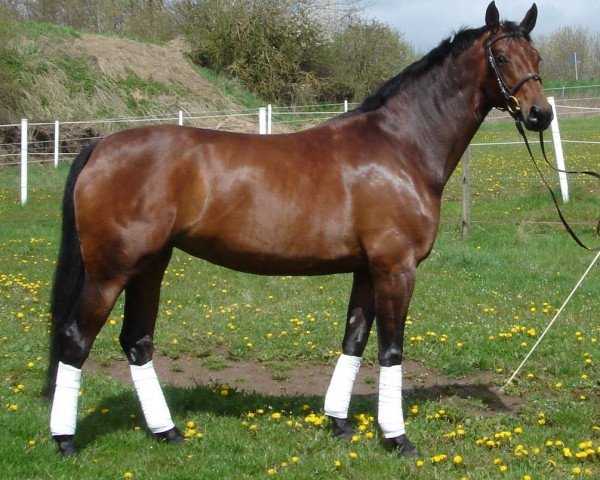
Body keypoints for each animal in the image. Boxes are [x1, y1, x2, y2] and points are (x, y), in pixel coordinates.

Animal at [47, 2, 552, 458]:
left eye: (537, 57)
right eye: (501, 57)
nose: (540, 115)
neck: (400, 147)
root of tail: (100, 146)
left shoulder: (367, 270)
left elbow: (354, 340)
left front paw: (338, 423)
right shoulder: (397, 269)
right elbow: (391, 351)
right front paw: (397, 438)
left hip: (150, 266)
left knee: (136, 342)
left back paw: (166, 432)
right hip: (111, 272)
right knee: (75, 341)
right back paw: (65, 440)